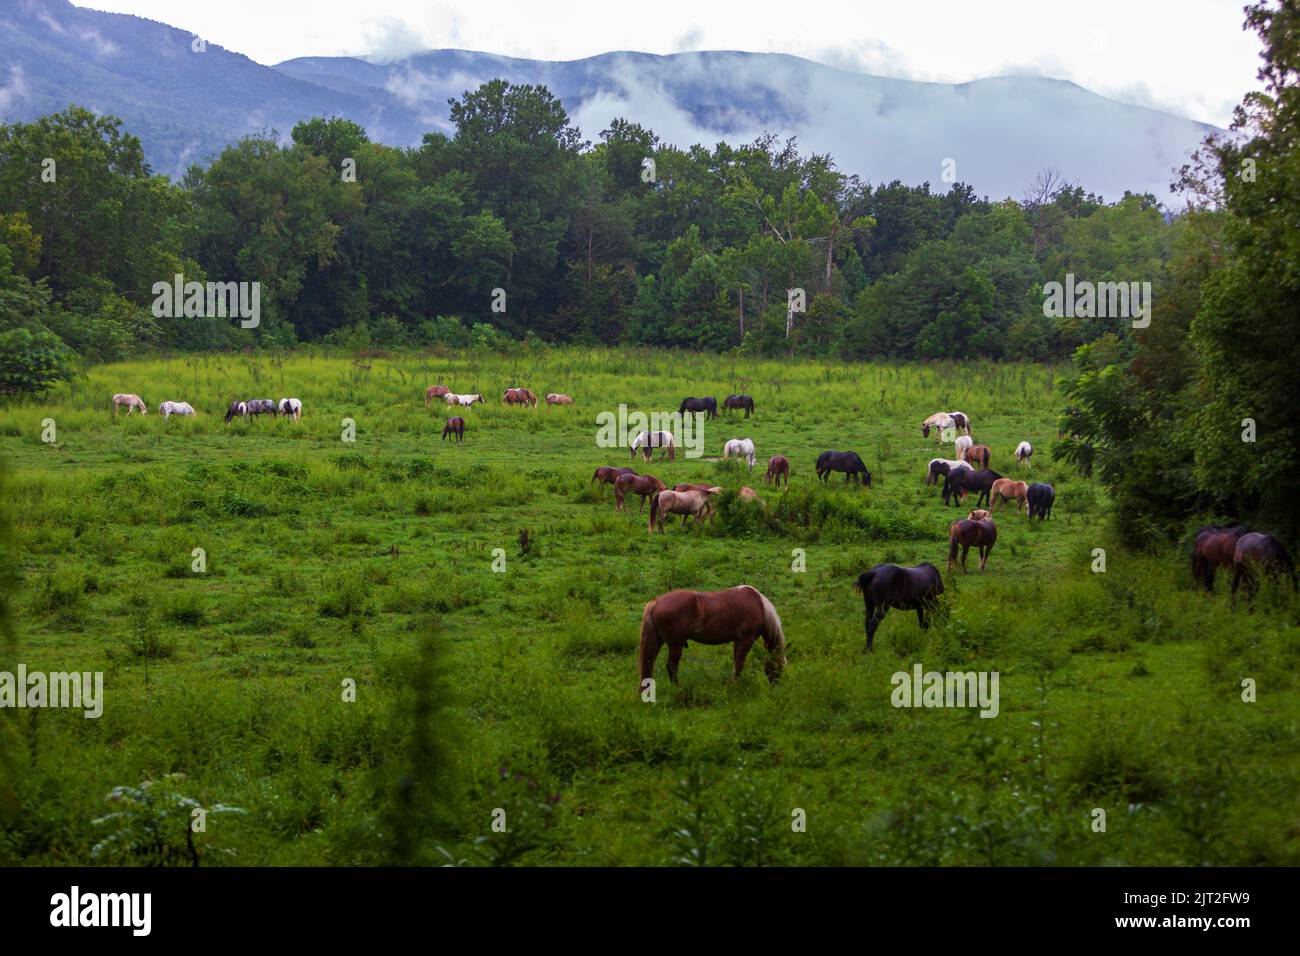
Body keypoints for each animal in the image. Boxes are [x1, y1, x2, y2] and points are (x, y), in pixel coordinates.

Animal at [638, 585, 786, 688]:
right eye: (779, 667)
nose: (774, 686)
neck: (759, 605)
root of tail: (656, 602)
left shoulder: (737, 640)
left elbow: (736, 663)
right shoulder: (746, 639)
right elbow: (739, 664)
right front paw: (733, 686)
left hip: (658, 642)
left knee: (650, 663)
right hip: (676, 644)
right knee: (671, 666)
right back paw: (677, 688)